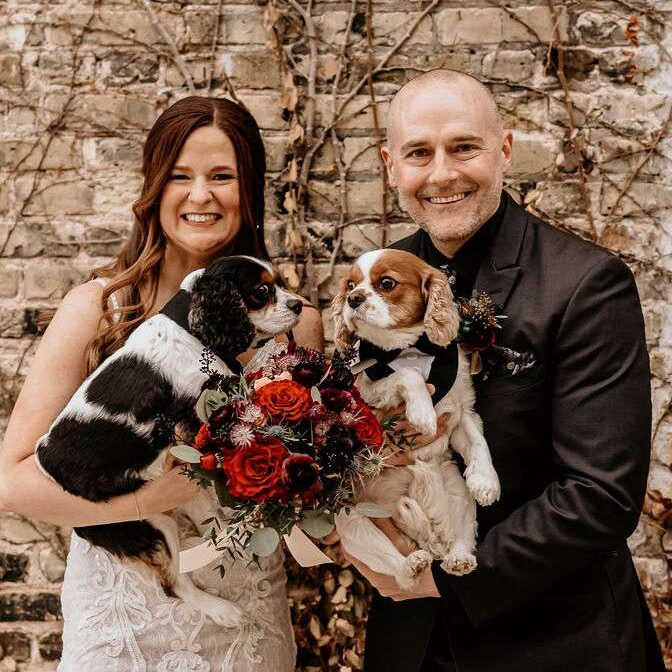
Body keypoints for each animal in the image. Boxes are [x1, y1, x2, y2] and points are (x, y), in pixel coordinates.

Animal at [34, 256, 302, 624]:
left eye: (279, 283)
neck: (192, 330)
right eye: (261, 291)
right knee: (176, 583)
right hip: (148, 526)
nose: (299, 304)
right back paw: (223, 610)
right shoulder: (196, 414)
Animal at [330, 247, 498, 588]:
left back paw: (459, 558)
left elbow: (477, 441)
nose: (353, 299)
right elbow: (408, 374)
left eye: (386, 283)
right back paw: (412, 565)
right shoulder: (370, 391)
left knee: (460, 539)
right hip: (353, 520)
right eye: (350, 285)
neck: (408, 349)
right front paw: (423, 414)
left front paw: (487, 481)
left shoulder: (461, 412)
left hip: (458, 494)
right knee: (401, 571)